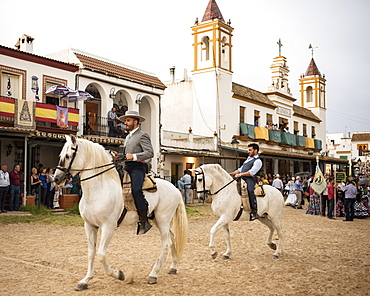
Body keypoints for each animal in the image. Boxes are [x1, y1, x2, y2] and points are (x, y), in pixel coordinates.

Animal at [54, 136, 188, 290]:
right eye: (60, 155)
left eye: (68, 156)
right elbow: (91, 253)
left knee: (166, 243)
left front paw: (120, 275)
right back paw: (173, 267)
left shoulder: (108, 227)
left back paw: (153, 275)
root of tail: (175, 188)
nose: (56, 179)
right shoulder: (89, 225)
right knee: (172, 238)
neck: (99, 189)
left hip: (163, 219)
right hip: (156, 219)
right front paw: (85, 280)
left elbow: (101, 255)